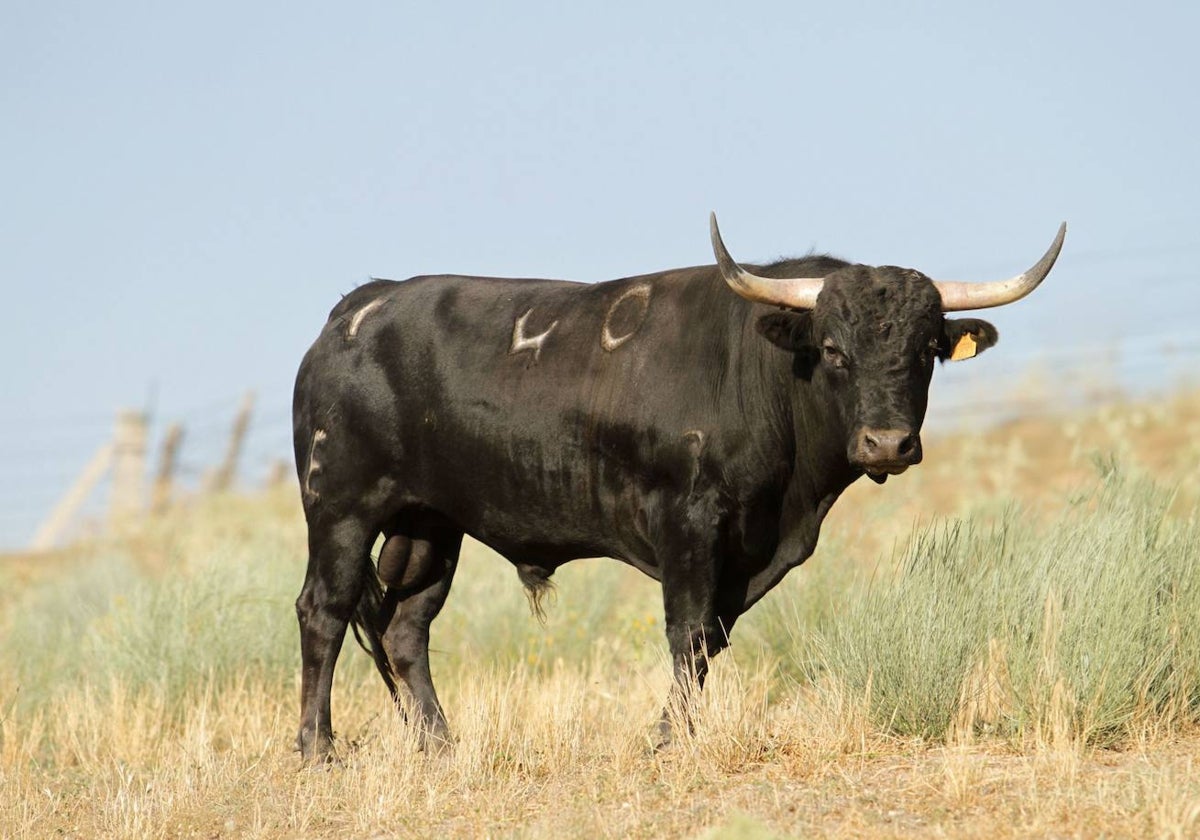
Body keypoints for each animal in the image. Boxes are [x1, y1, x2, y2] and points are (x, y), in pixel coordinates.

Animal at [290, 216, 1060, 763]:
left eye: (927, 350)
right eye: (834, 350)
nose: (888, 444)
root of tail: (360, 307)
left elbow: (710, 641)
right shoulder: (688, 523)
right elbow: (687, 635)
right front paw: (668, 742)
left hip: (427, 522)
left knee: (404, 626)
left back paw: (442, 747)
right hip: (341, 508)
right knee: (323, 612)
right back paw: (318, 749)